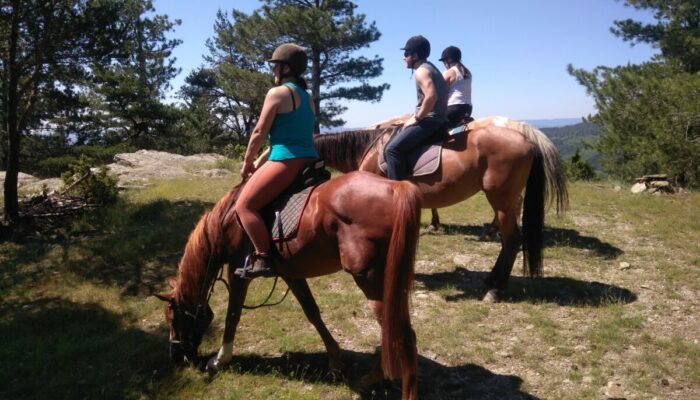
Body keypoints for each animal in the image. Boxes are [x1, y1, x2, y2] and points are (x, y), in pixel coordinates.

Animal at [156, 172, 422, 400]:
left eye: (173, 318)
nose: (175, 357)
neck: (226, 222)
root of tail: (396, 187)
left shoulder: (238, 273)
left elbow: (232, 316)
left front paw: (220, 360)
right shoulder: (291, 274)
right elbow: (312, 312)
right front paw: (335, 360)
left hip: (371, 281)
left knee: (402, 335)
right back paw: (371, 379)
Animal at [314, 114, 568, 302]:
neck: (369, 150)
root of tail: (528, 139)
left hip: (501, 201)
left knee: (513, 240)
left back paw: (494, 290)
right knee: (508, 241)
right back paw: (490, 279)